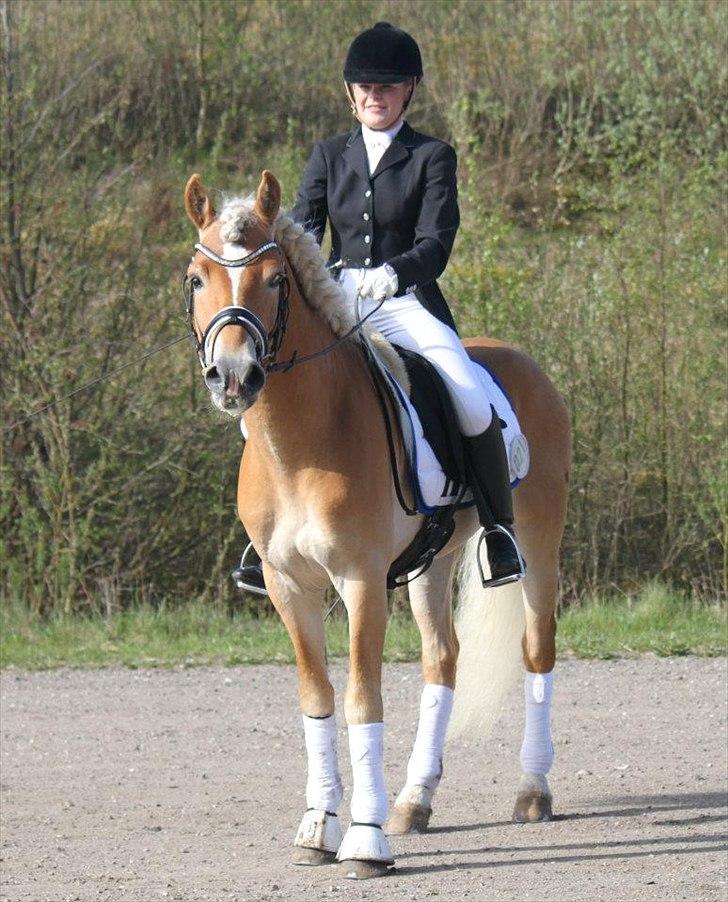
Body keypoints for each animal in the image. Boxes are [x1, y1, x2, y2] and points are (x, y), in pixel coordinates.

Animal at [181, 173, 568, 880]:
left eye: (276, 279)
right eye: (197, 278)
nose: (234, 377)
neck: (302, 441)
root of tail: (519, 359)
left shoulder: (360, 580)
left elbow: (363, 699)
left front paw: (363, 840)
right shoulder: (288, 586)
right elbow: (317, 697)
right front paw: (317, 828)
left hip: (538, 539)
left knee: (537, 650)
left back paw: (533, 791)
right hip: (432, 563)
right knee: (442, 660)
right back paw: (414, 802)